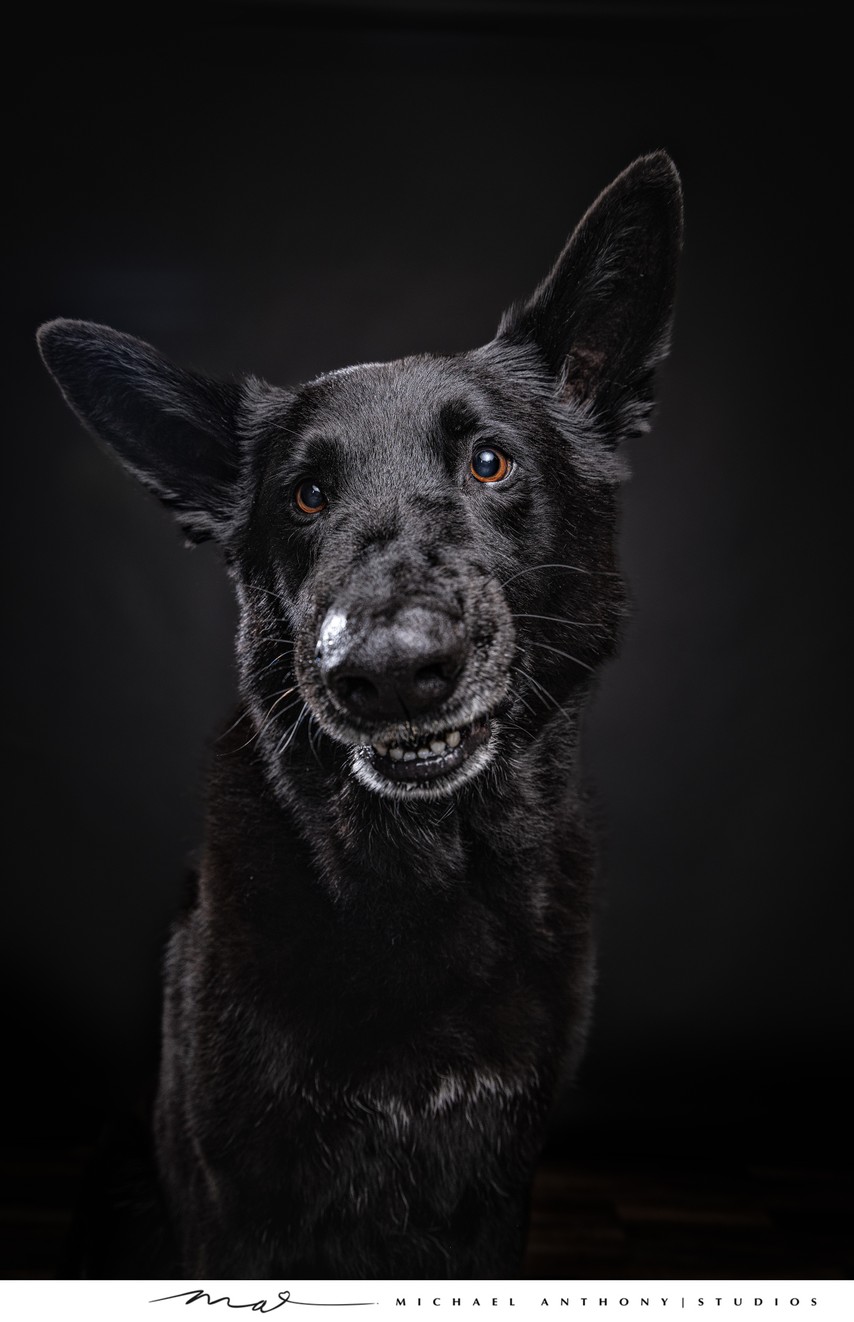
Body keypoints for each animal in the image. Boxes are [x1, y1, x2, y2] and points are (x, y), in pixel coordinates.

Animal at [38, 154, 682, 1279]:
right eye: (304, 496)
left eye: (489, 462)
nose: (385, 673)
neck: (432, 874)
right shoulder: (233, 1200)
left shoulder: (493, 1192)